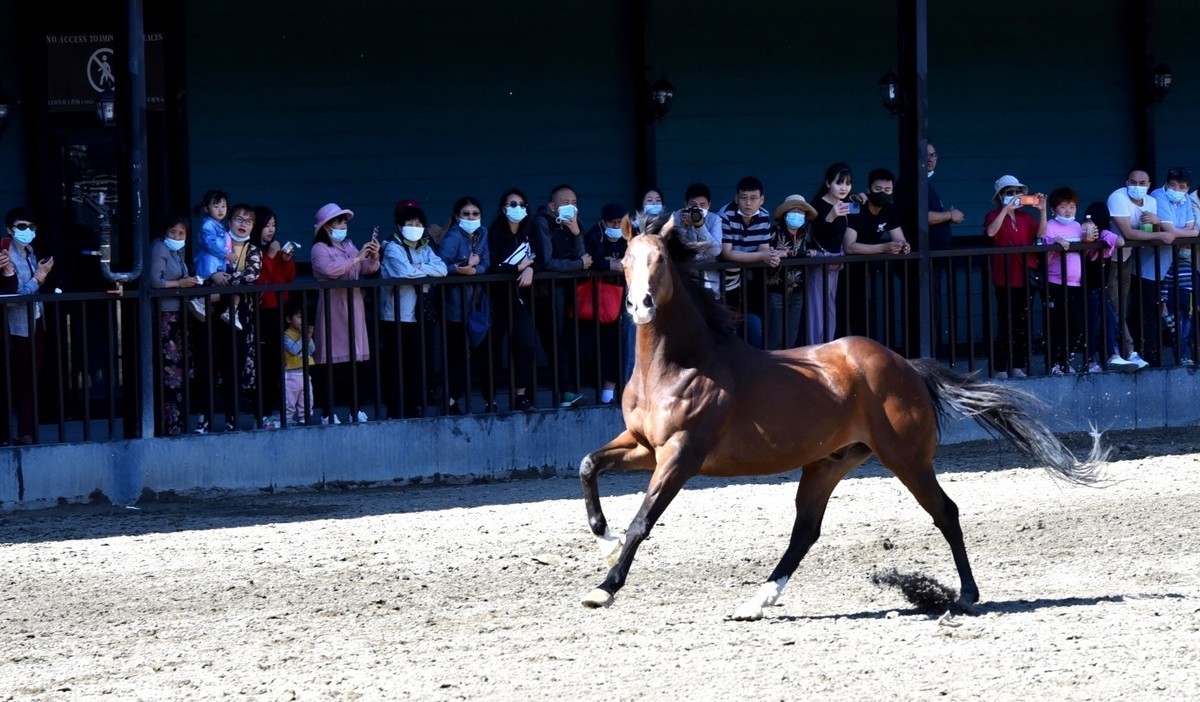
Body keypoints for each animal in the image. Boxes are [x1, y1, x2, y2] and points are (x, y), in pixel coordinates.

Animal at [580, 214, 1104, 619]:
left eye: (661, 261)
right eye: (625, 262)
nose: (640, 305)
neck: (681, 364)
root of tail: (905, 365)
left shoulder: (682, 453)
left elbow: (643, 521)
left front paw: (603, 589)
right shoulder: (645, 446)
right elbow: (589, 465)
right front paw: (603, 539)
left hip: (906, 459)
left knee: (945, 512)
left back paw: (967, 595)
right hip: (829, 463)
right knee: (805, 532)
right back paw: (757, 601)